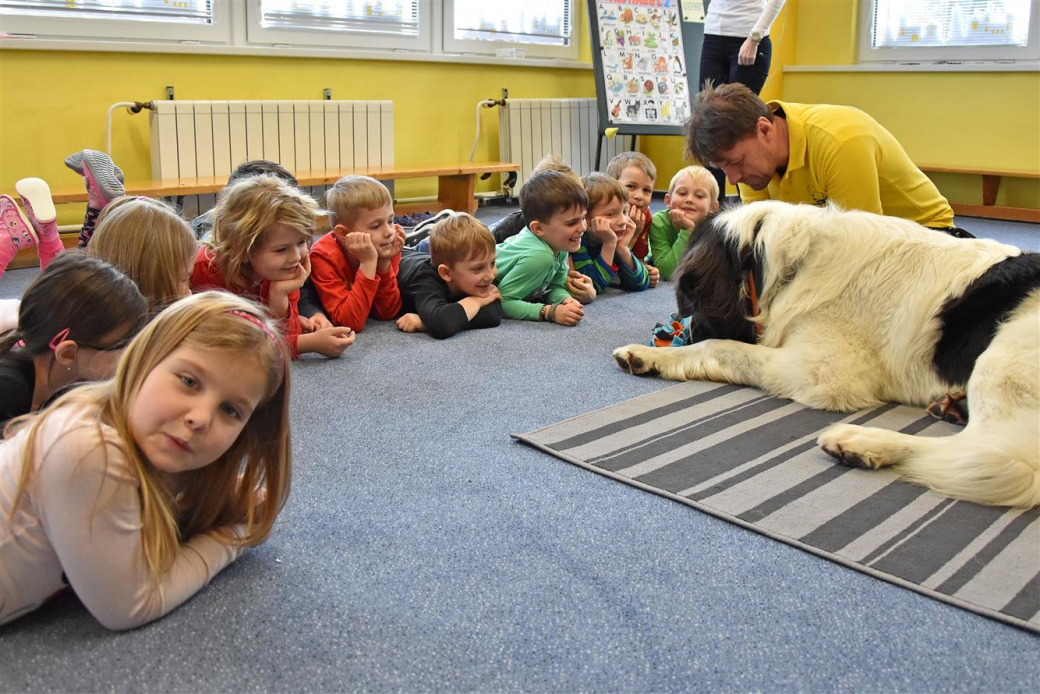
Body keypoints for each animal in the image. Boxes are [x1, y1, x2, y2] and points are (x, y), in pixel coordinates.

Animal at [611, 201, 1035, 509]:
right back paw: (949, 407)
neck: (793, 266)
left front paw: (649, 354)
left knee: (994, 455)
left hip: (1004, 355)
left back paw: (860, 442)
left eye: (691, 299)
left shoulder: (820, 370)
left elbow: (723, 348)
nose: (690, 327)